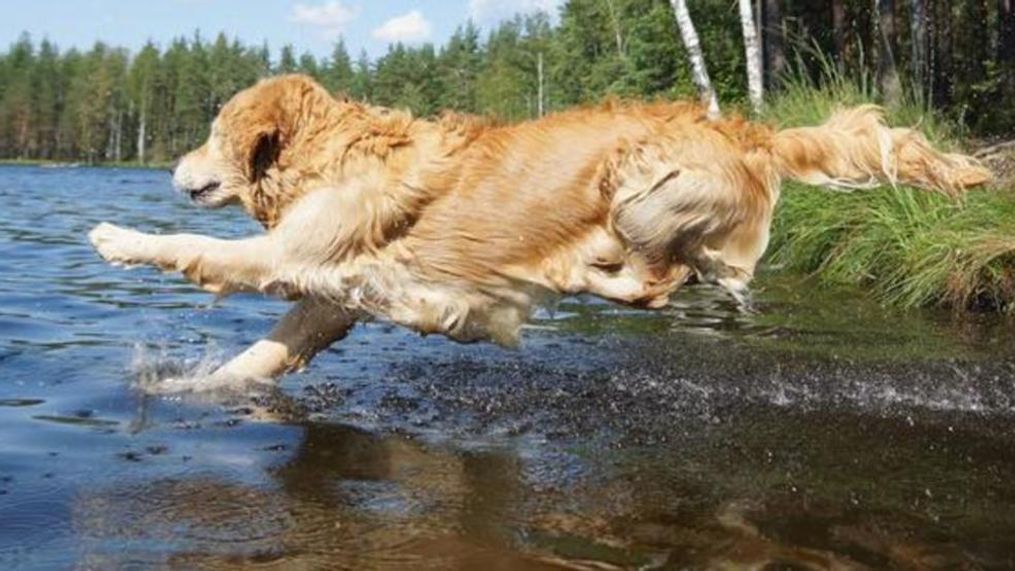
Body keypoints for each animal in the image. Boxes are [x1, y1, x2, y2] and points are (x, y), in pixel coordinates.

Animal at [87, 75, 990, 389]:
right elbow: (264, 355)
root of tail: (749, 132)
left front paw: (117, 238)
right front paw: (193, 391)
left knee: (657, 283)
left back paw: (574, 274)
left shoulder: (292, 256)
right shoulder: (334, 295)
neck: (328, 153)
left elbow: (198, 250)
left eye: (212, 133)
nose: (173, 168)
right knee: (674, 279)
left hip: (640, 190)